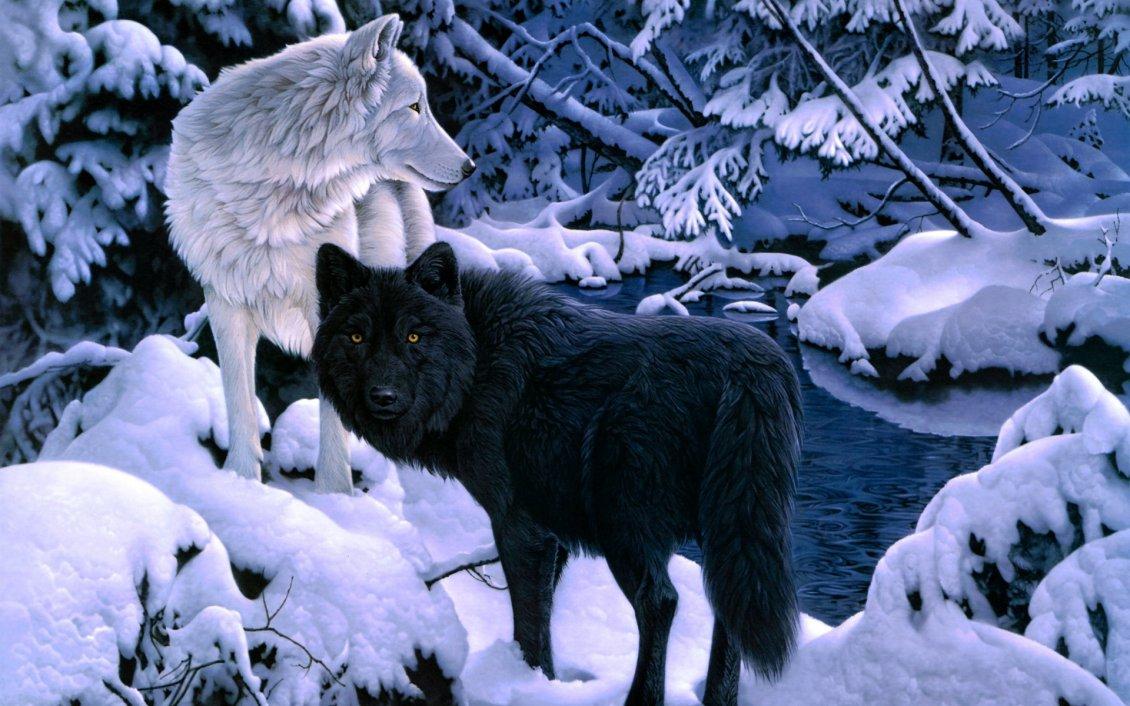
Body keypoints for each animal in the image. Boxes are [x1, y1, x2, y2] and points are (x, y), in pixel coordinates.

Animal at [165, 14, 472, 492]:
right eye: (414, 107)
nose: (469, 166)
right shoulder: (225, 303)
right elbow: (239, 399)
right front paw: (239, 483)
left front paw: (333, 495)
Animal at [312, 242, 803, 705]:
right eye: (356, 336)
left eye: (413, 336)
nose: (383, 396)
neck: (478, 362)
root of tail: (750, 366)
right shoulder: (553, 532)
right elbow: (543, 613)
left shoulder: (517, 522)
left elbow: (530, 624)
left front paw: (527, 685)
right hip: (729, 529)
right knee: (727, 605)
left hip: (623, 523)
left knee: (661, 601)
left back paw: (639, 699)